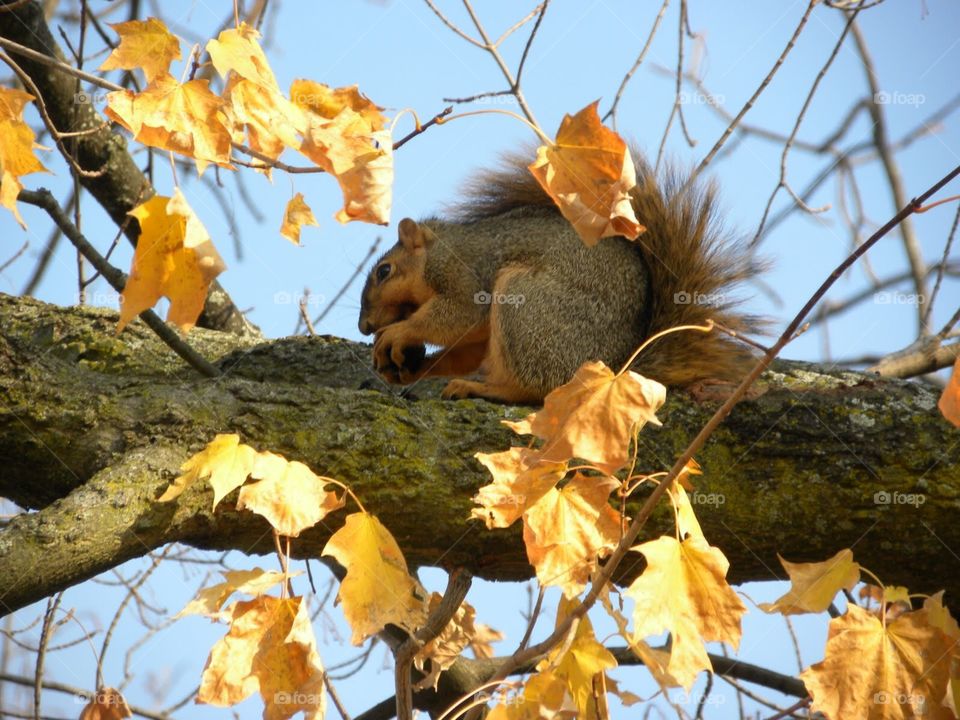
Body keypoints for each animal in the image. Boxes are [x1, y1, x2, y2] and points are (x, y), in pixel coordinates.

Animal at [358, 151, 762, 404]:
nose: (364, 327)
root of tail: (616, 369)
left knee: (539, 389)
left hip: (526, 304)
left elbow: (460, 314)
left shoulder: (465, 271)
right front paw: (412, 368)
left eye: (384, 271)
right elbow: (467, 346)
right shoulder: (478, 331)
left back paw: (485, 390)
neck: (436, 250)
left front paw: (397, 333)